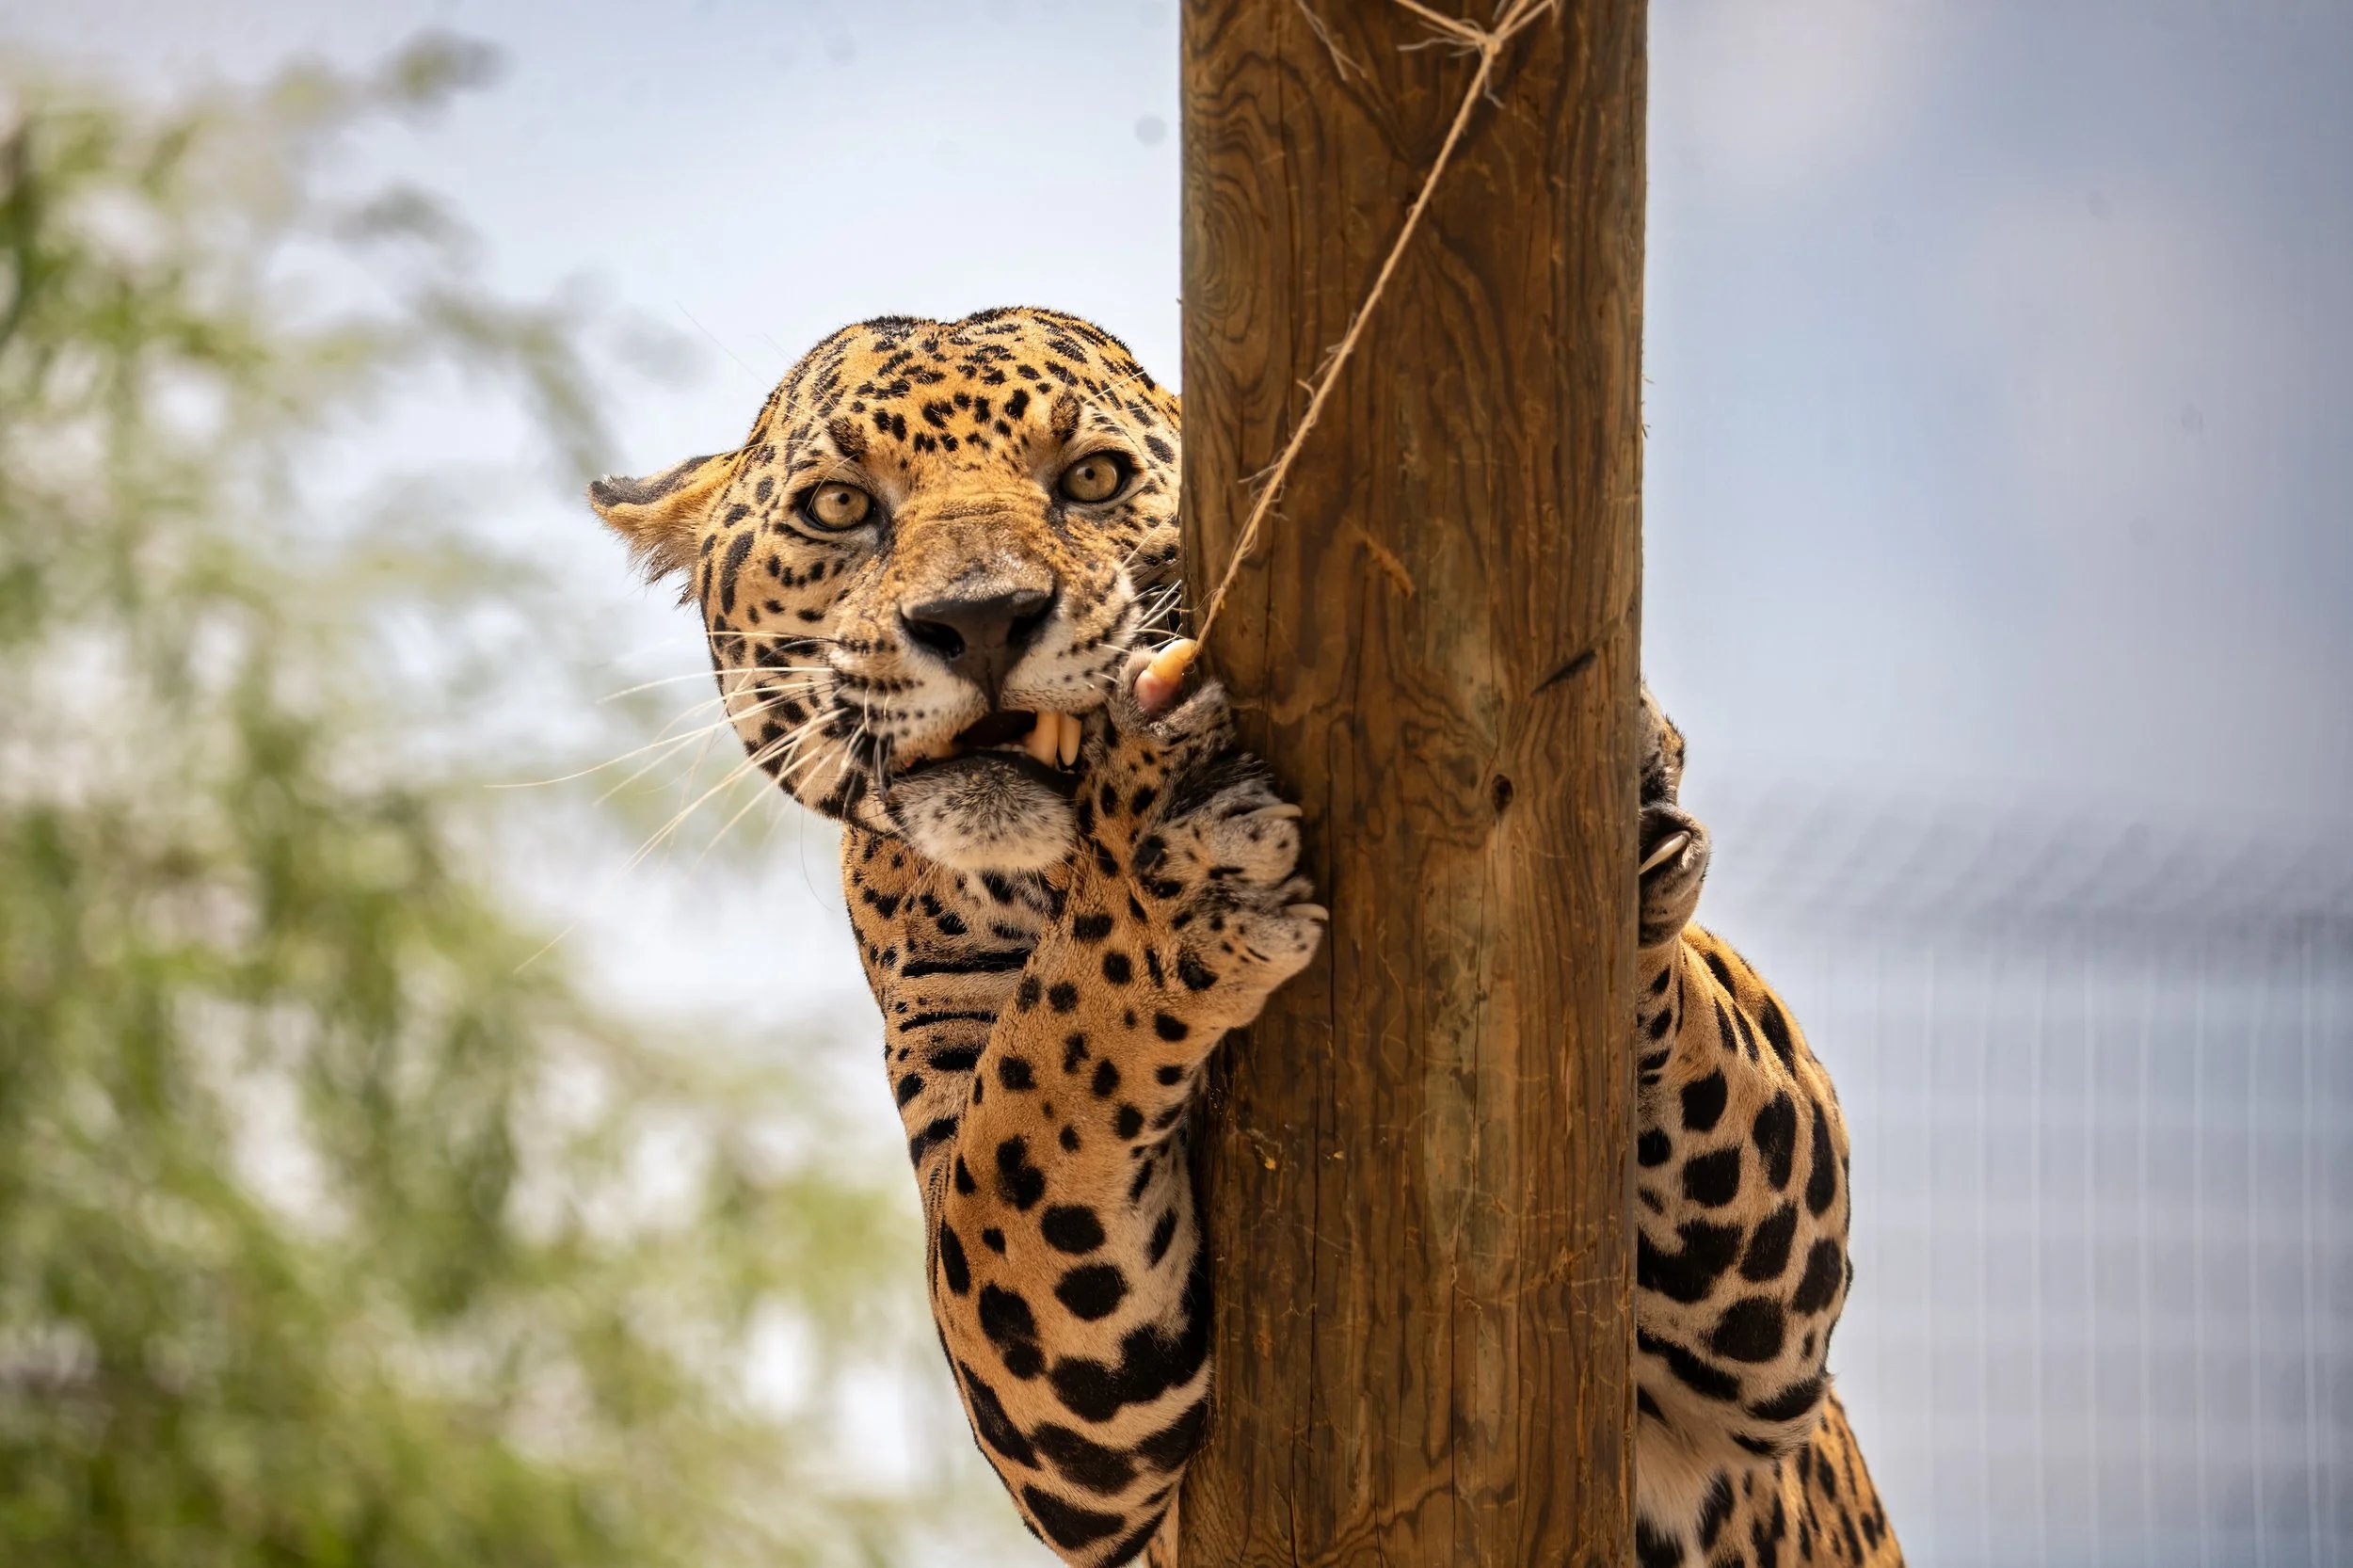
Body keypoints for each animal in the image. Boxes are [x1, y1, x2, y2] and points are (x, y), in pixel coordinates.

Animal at [587, 305, 1901, 1568]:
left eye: (1093, 479)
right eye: (841, 506)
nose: (981, 620)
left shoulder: (1747, 1359)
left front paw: (1632, 795)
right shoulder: (1052, 1391)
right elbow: (1034, 1096)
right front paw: (1167, 859)